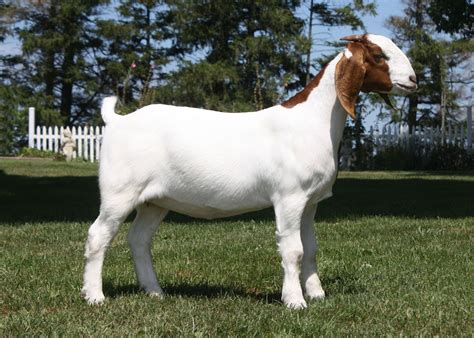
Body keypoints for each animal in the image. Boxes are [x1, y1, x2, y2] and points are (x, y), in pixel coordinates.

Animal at [83, 33, 416, 308]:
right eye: (378, 54)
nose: (413, 80)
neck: (312, 121)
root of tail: (117, 121)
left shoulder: (310, 202)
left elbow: (310, 248)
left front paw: (317, 294)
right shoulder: (290, 197)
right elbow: (293, 250)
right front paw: (295, 301)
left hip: (155, 200)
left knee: (139, 239)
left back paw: (154, 291)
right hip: (120, 191)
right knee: (98, 236)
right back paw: (95, 296)